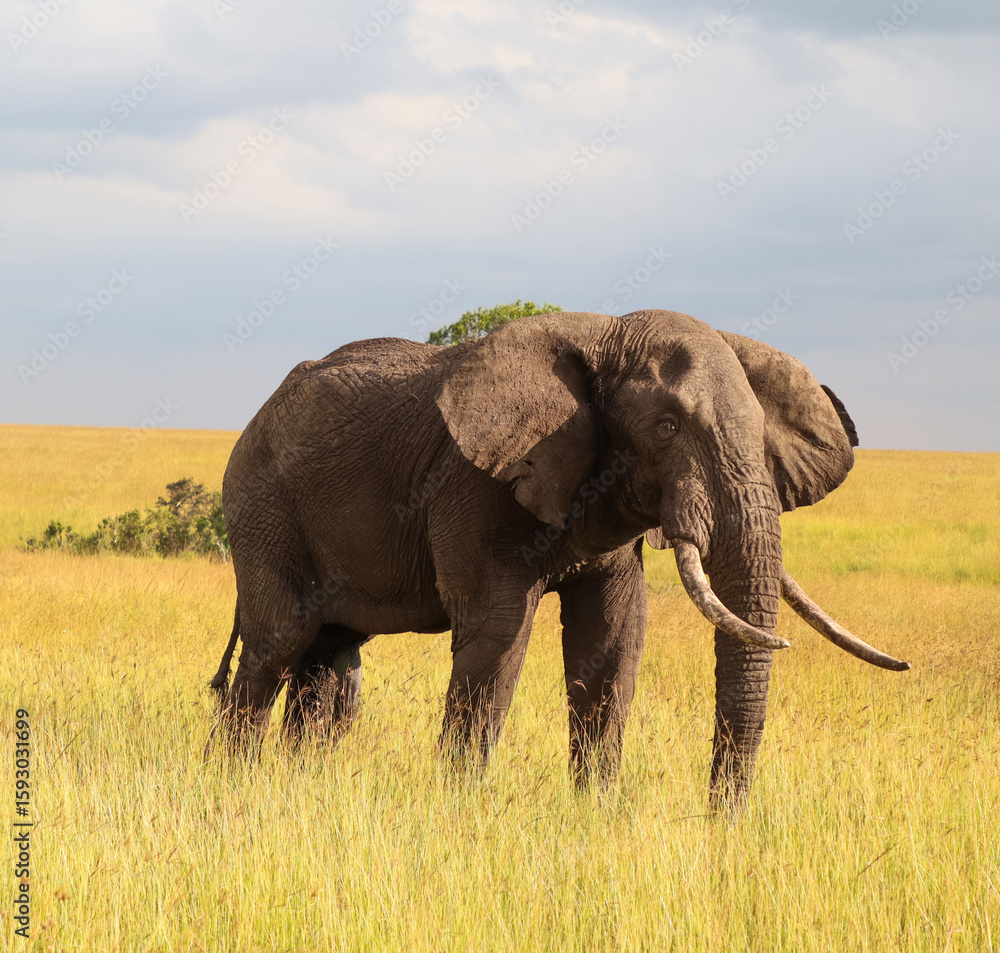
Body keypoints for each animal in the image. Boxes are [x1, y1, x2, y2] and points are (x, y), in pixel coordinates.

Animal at [209, 309, 908, 811]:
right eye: (666, 427)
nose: (719, 823)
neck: (605, 334)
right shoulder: (474, 485)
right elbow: (499, 632)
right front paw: (459, 812)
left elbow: (615, 633)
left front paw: (592, 814)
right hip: (261, 507)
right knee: (278, 645)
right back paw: (235, 785)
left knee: (327, 657)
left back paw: (298, 784)